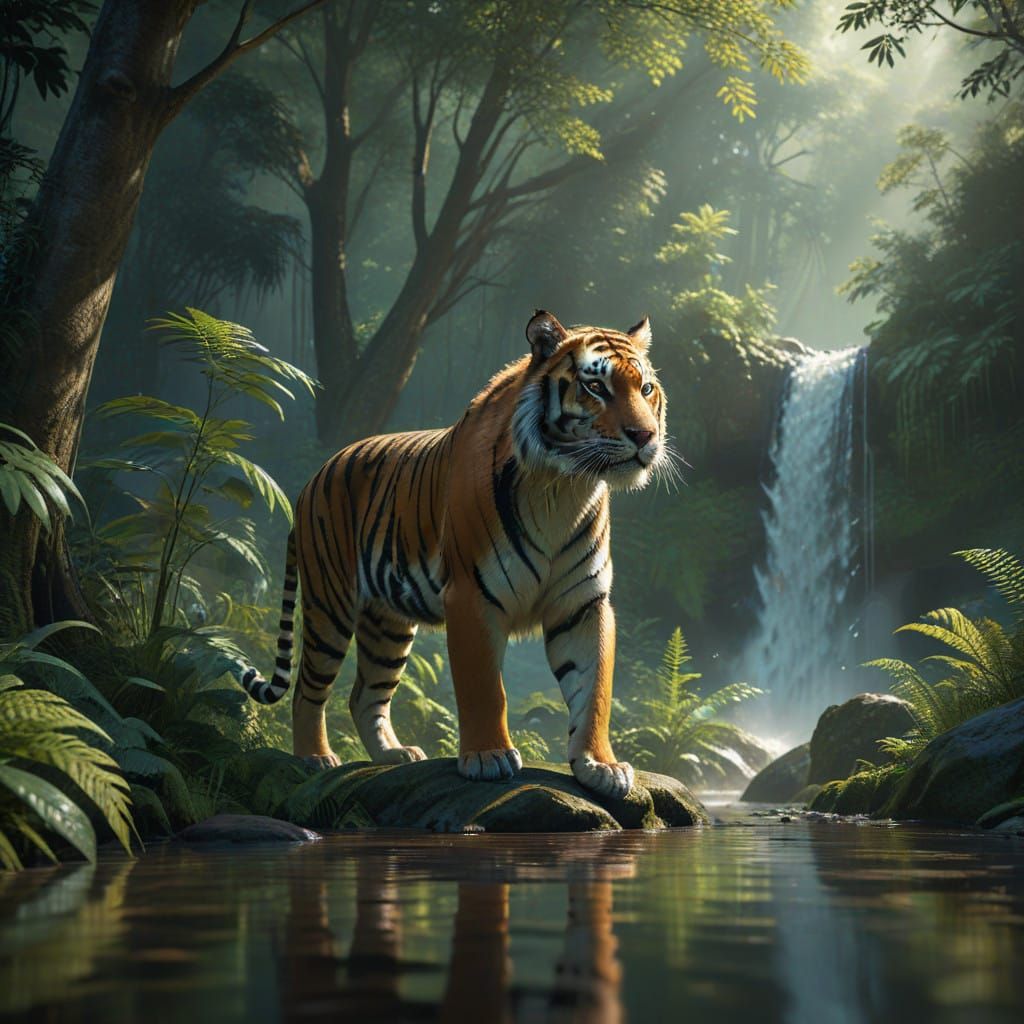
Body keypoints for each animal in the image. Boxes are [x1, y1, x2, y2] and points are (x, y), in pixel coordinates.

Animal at [238, 310, 669, 798]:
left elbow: (594, 688)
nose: (645, 436)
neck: (563, 487)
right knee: (308, 689)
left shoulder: (583, 603)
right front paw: (488, 757)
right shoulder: (472, 595)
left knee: (365, 693)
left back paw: (394, 754)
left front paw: (601, 766)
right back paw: (314, 757)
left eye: (646, 388)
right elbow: (484, 686)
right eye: (596, 386)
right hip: (330, 606)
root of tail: (313, 479)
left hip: (386, 624)